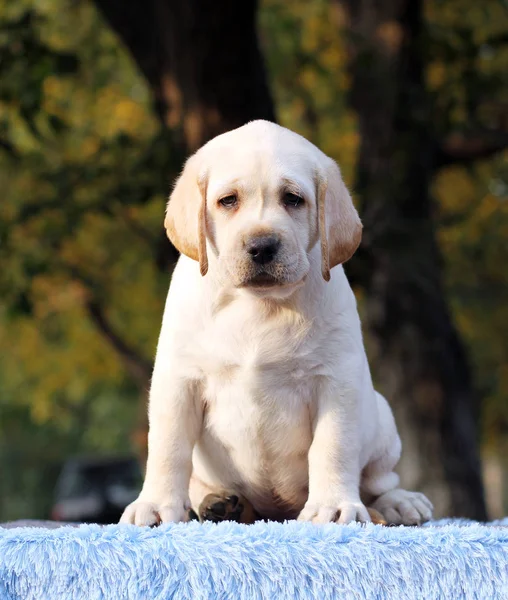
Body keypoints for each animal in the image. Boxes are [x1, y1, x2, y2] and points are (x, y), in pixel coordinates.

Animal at [120, 120, 432, 524]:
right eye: (228, 200)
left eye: (293, 199)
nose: (262, 246)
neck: (259, 305)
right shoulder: (178, 380)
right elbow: (168, 447)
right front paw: (156, 505)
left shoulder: (337, 381)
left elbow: (333, 447)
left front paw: (333, 506)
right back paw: (221, 503)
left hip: (382, 418)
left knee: (379, 482)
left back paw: (399, 503)